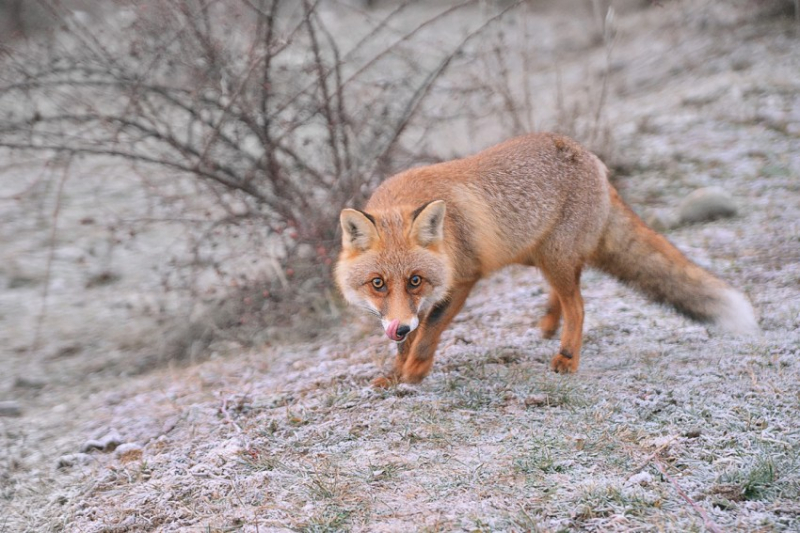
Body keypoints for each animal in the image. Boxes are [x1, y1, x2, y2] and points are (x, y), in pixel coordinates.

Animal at [334, 131, 760, 384]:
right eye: (377, 283)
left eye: (415, 279)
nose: (399, 327)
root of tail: (592, 160)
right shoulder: (414, 307)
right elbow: (409, 339)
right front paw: (394, 373)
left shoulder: (463, 279)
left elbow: (428, 334)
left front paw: (415, 372)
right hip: (536, 255)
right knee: (569, 290)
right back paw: (548, 325)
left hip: (552, 257)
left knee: (579, 304)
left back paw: (567, 356)